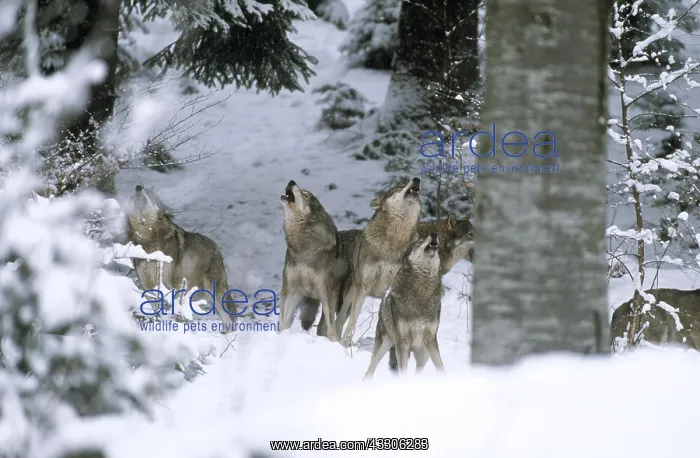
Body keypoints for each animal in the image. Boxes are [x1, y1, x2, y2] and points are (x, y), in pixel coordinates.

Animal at [123, 185, 234, 326]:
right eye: (132, 195)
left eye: (149, 193)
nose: (138, 187)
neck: (149, 239)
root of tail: (217, 247)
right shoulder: (147, 285)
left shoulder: (173, 284)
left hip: (214, 292)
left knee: (228, 319)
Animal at [278, 180, 349, 341]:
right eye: (303, 191)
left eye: (305, 195)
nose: (291, 181)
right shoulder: (293, 290)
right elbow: (285, 322)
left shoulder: (327, 294)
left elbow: (331, 328)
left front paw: (333, 343)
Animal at [336, 177, 422, 348]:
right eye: (401, 186)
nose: (417, 179)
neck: (394, 240)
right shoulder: (362, 288)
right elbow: (353, 322)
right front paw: (346, 344)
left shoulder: (390, 291)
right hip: (348, 297)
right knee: (339, 320)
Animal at [363, 232, 445, 380]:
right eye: (419, 241)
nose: (434, 234)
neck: (422, 292)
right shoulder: (403, 342)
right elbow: (404, 372)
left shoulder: (431, 340)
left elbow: (441, 367)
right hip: (387, 345)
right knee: (370, 370)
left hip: (424, 354)